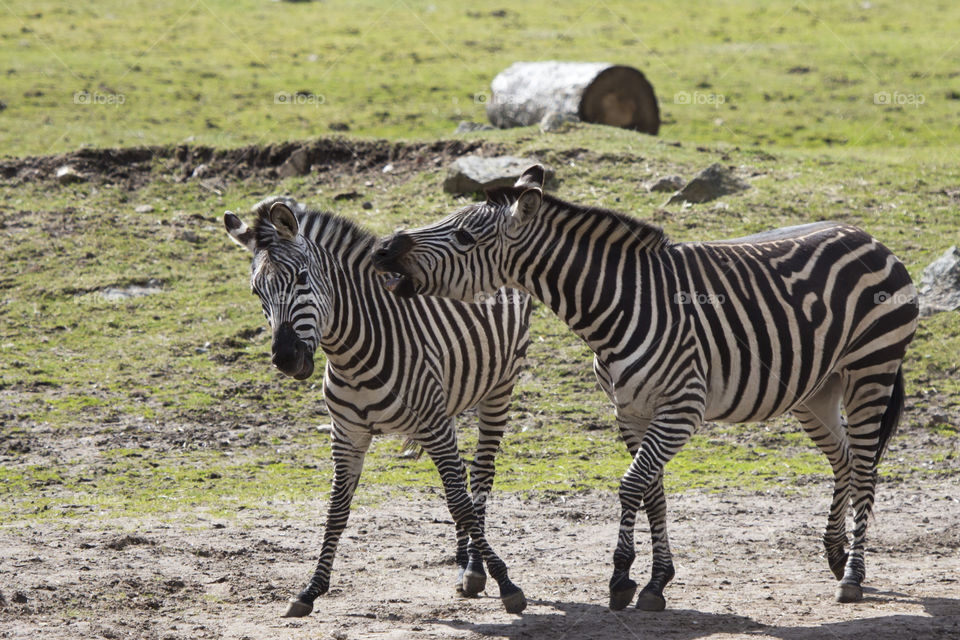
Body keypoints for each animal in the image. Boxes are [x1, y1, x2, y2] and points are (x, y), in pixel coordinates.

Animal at [223, 196, 532, 616]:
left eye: (302, 278)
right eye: (257, 293)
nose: (286, 359)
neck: (353, 357)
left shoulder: (433, 425)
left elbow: (461, 503)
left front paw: (504, 581)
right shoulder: (347, 435)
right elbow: (337, 510)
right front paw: (311, 589)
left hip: (499, 387)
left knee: (480, 475)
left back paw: (473, 567)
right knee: (462, 475)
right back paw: (463, 561)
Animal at [372, 165, 919, 611]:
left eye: (464, 236)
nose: (383, 248)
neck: (619, 305)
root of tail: (866, 234)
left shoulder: (682, 408)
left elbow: (632, 485)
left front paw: (621, 579)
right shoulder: (631, 410)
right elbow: (653, 491)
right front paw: (656, 583)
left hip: (872, 368)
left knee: (865, 466)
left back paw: (852, 575)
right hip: (815, 389)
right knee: (844, 459)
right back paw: (835, 554)